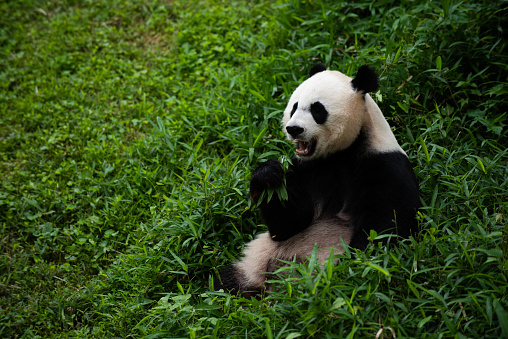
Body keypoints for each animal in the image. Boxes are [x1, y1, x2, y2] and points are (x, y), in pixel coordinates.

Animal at [217, 63, 420, 294]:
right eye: (294, 107)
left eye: (317, 109)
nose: (294, 129)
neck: (342, 152)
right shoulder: (308, 169)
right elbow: (289, 223)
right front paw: (268, 175)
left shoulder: (384, 165)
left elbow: (386, 225)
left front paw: (350, 267)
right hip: (254, 263)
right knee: (225, 281)